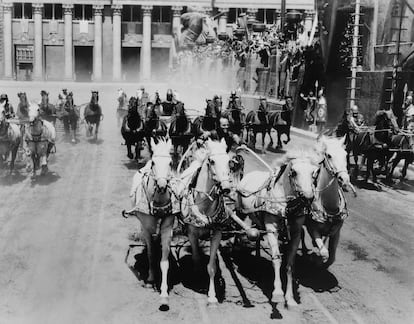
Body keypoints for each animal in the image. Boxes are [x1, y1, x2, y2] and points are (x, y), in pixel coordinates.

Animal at [129, 139, 175, 312]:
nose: (162, 186)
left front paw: (164, 296)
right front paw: (150, 280)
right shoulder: (147, 229)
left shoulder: (168, 227)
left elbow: (164, 261)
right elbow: (149, 254)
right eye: (154, 162)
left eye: (171, 162)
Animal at [177, 138, 231, 306]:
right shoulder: (192, 233)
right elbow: (196, 260)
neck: (204, 205)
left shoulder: (217, 233)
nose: (226, 188)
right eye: (211, 161)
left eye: (229, 161)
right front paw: (197, 278)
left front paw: (212, 296)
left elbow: (211, 267)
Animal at [236, 152, 316, 306]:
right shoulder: (272, 229)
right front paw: (278, 293)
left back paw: (257, 257)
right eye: (294, 172)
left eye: (313, 172)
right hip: (240, 210)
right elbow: (277, 258)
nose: (308, 197)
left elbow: (290, 263)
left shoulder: (296, 233)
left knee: (256, 235)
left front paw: (290, 298)